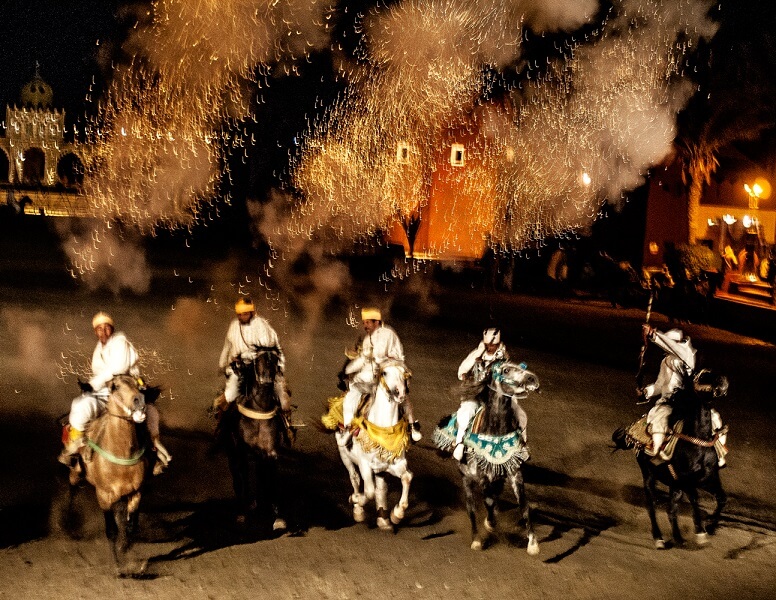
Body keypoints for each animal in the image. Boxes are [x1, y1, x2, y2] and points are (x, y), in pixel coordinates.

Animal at [77, 376, 152, 576]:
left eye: (137, 383)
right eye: (115, 386)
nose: (139, 400)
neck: (122, 453)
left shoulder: (136, 493)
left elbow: (131, 526)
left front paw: (127, 552)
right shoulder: (104, 496)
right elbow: (111, 530)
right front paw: (119, 566)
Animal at [221, 346, 288, 528]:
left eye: (274, 360)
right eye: (257, 360)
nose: (267, 379)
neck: (259, 410)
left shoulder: (270, 451)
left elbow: (271, 478)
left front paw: (277, 516)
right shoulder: (240, 449)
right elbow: (243, 476)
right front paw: (243, 512)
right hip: (232, 453)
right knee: (239, 476)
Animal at [330, 358, 416, 528]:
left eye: (404, 374)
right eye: (384, 373)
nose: (400, 392)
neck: (384, 431)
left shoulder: (395, 464)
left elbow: (407, 477)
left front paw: (397, 514)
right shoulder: (365, 464)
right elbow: (368, 491)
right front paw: (356, 501)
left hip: (380, 471)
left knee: (381, 489)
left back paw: (383, 519)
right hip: (345, 456)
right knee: (355, 477)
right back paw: (357, 508)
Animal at [612, 368, 728, 552]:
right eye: (703, 376)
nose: (723, 381)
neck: (697, 443)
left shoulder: (708, 478)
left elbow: (722, 498)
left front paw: (710, 526)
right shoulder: (685, 480)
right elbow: (695, 499)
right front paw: (701, 533)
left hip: (675, 487)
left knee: (671, 510)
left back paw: (678, 538)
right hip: (649, 476)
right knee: (651, 506)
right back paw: (659, 539)